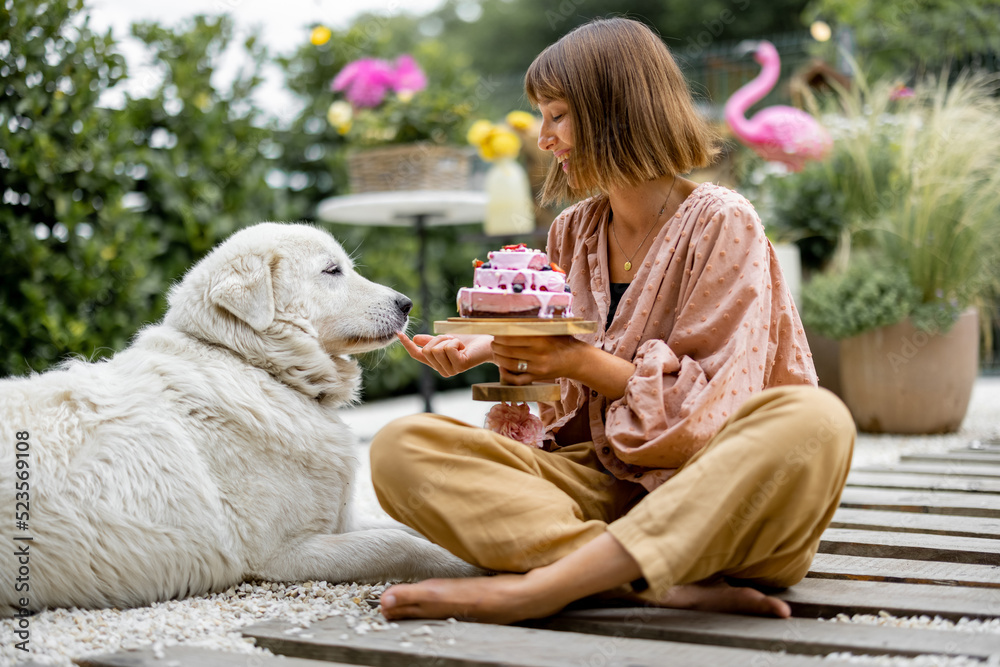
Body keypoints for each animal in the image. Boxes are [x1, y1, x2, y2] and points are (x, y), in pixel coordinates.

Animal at [0, 223, 476, 616]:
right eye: (331, 270)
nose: (406, 303)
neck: (252, 364)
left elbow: (410, 528)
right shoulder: (283, 554)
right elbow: (397, 542)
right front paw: (465, 566)